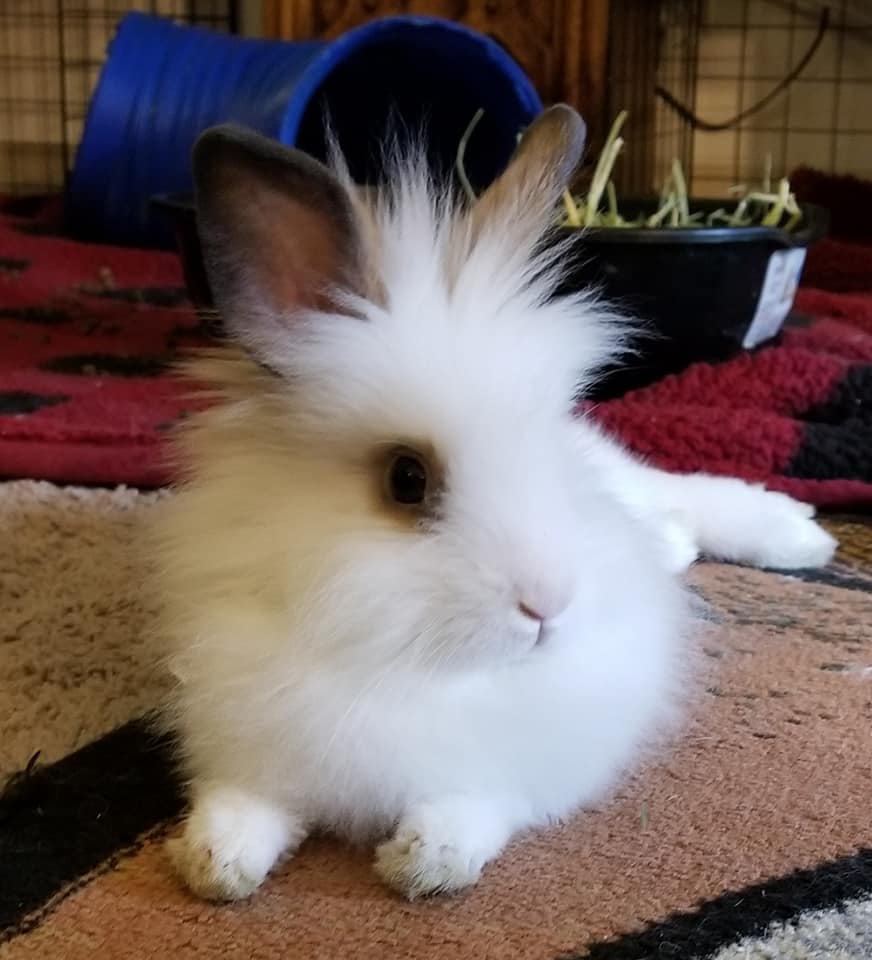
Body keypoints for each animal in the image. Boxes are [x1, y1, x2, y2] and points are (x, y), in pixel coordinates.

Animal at [150, 104, 837, 903]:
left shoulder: (526, 766)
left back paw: (797, 534)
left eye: (543, 449)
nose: (550, 604)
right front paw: (213, 864)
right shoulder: (241, 735)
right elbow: (239, 806)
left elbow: (475, 806)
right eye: (407, 479)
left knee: (677, 491)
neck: (407, 668)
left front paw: (426, 861)